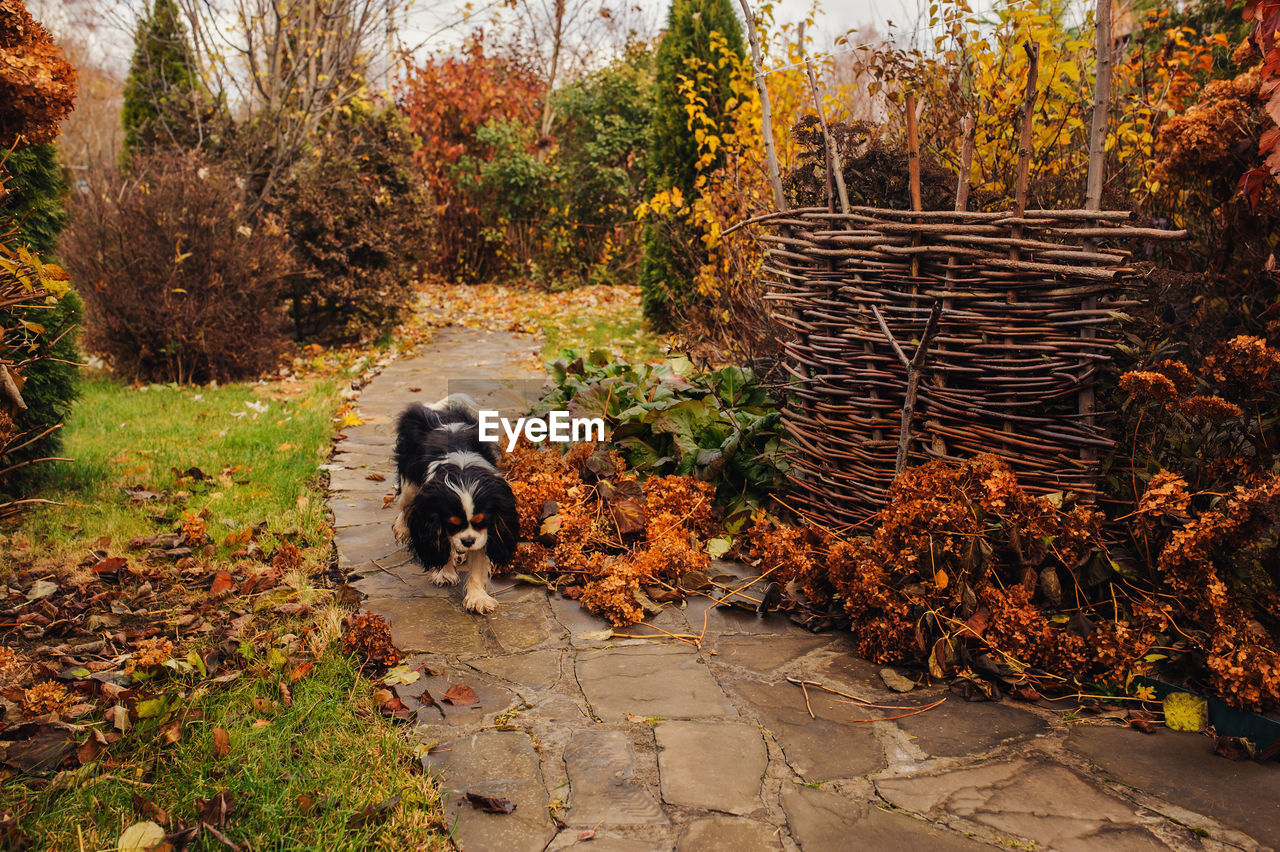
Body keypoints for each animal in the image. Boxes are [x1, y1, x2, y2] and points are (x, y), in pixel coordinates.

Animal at [394, 394, 524, 614]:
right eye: (453, 524)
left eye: (481, 522)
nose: (468, 541)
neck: (462, 473)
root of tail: (440, 415)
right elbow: (442, 543)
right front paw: (445, 573)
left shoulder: (486, 532)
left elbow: (478, 564)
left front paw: (478, 598)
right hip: (410, 479)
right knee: (405, 503)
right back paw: (403, 528)